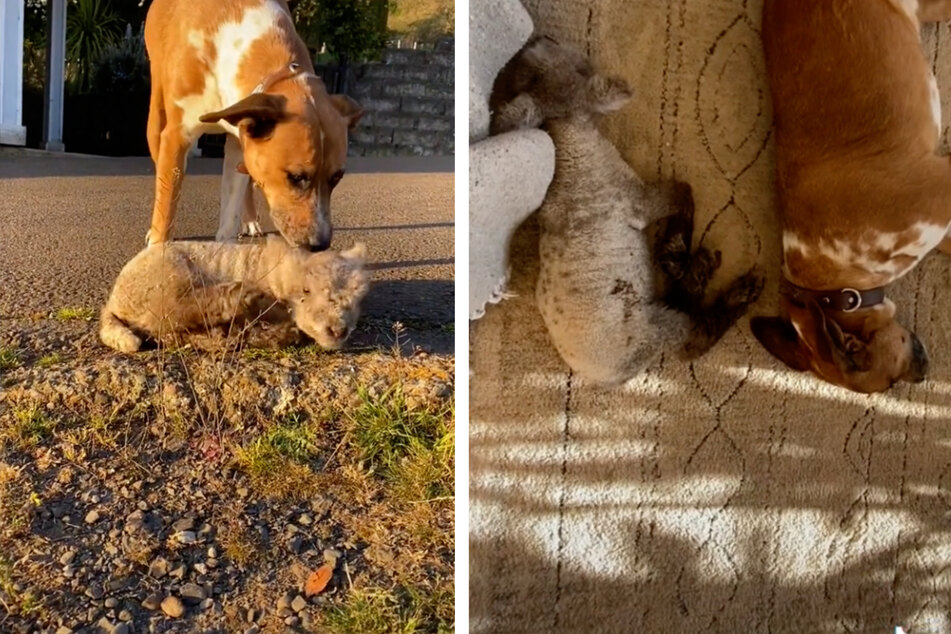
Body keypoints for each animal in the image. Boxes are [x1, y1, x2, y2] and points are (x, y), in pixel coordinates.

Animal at [100, 236, 368, 354]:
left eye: (357, 300)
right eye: (306, 290)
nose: (338, 331)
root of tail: (113, 301)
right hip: (164, 278)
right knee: (173, 310)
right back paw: (240, 298)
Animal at [143, 0, 362, 252]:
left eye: (337, 177)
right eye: (296, 177)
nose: (320, 244)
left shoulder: (242, 141)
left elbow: (230, 213)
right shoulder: (178, 136)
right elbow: (167, 201)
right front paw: (158, 249)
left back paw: (249, 220)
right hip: (156, 119)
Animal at [490, 38, 768, 386]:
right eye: (581, 67)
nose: (539, 39)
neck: (571, 143)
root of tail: (608, 377)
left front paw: (674, 253)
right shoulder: (637, 201)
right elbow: (684, 192)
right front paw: (678, 247)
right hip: (651, 328)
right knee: (693, 336)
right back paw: (725, 284)